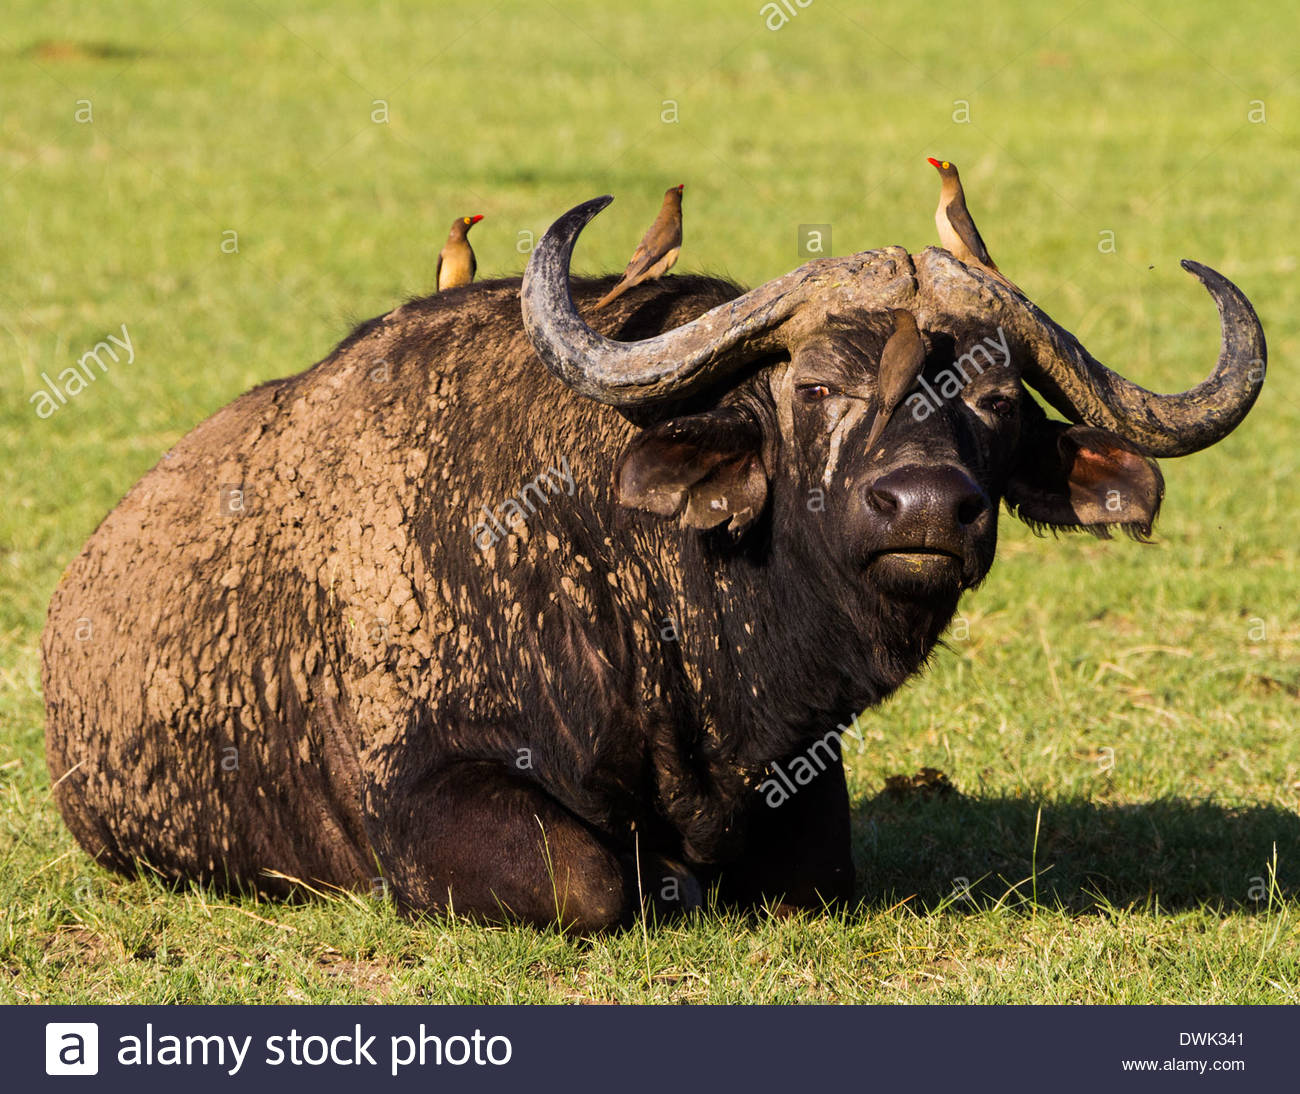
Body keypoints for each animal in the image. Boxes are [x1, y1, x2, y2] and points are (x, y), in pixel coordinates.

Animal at [43, 196, 1266, 929]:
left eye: (1000, 400)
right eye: (813, 386)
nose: (924, 506)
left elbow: (815, 875)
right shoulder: (428, 788)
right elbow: (590, 882)